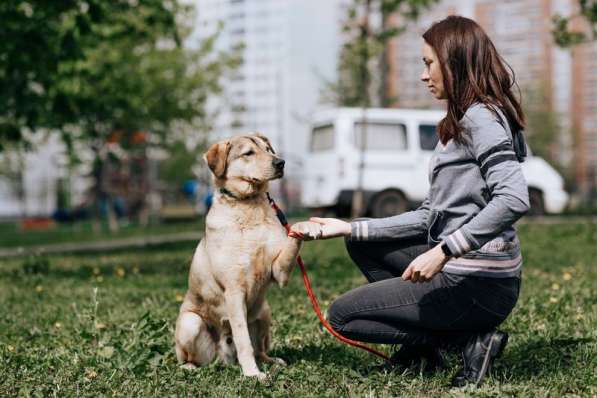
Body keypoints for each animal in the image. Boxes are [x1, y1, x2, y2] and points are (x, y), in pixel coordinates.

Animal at [173, 132, 322, 378]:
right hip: (190, 322)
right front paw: (252, 374)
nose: (280, 163)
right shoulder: (234, 291)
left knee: (260, 348)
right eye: (248, 153)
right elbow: (243, 341)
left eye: (268, 149)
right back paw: (191, 367)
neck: (249, 206)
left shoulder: (279, 271)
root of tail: (223, 358)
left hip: (265, 312)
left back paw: (272, 361)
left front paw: (309, 226)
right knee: (191, 357)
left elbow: (292, 235)